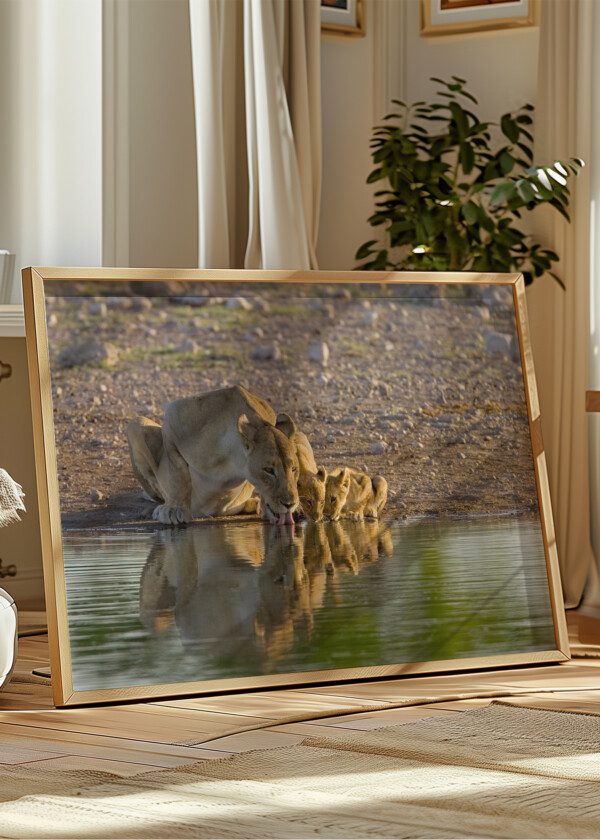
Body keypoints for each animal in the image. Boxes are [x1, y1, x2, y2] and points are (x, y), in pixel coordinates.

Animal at [127, 385, 300, 525]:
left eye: (293, 469)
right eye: (268, 470)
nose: (290, 504)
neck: (233, 460)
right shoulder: (174, 420)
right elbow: (178, 476)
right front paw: (174, 510)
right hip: (136, 423)